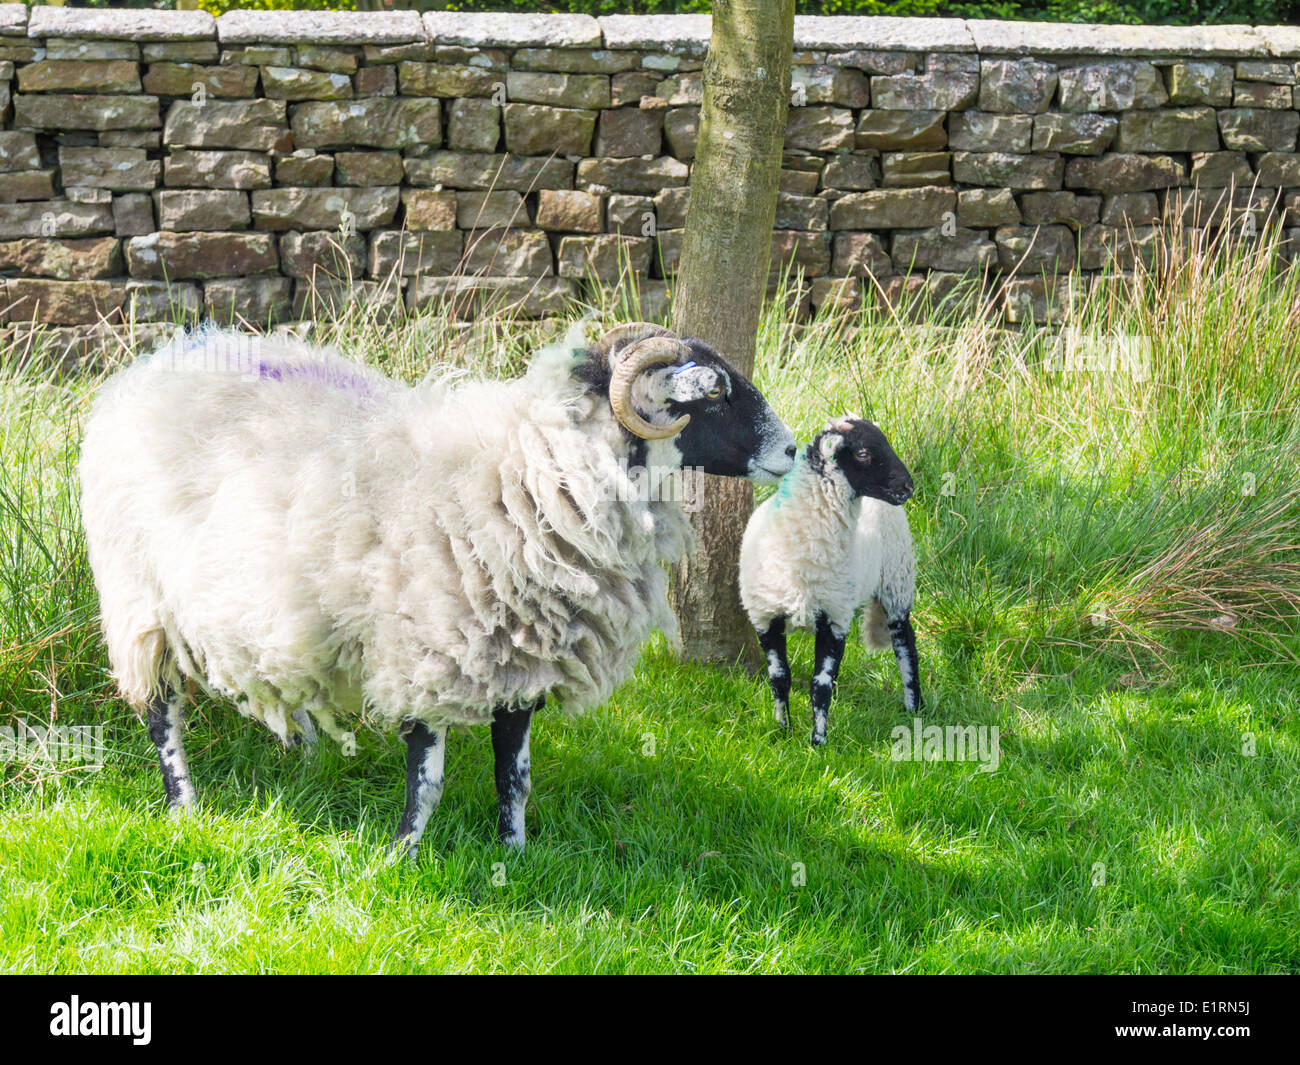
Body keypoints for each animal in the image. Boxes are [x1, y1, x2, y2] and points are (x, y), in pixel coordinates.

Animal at [81, 321, 795, 853]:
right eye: (715, 395)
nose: (792, 452)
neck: (531, 474)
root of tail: (155, 362)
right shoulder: (426, 650)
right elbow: (427, 778)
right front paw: (402, 855)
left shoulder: (523, 655)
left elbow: (516, 775)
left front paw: (514, 853)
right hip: (138, 596)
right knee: (160, 709)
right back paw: (184, 805)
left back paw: (305, 762)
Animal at [738, 413, 920, 743]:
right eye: (863, 453)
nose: (908, 487)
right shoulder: (766, 617)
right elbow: (779, 677)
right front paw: (783, 729)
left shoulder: (834, 617)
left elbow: (821, 685)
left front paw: (818, 742)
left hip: (897, 580)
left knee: (905, 645)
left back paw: (915, 708)